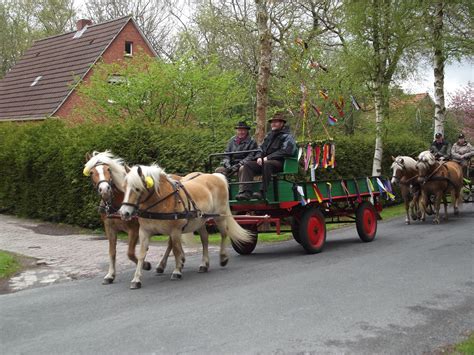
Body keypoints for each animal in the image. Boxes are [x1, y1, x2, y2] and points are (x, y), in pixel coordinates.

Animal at [83, 152, 152, 286]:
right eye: (92, 172)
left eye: (108, 169)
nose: (105, 189)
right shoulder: (109, 228)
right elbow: (112, 252)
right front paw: (110, 275)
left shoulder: (134, 230)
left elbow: (130, 253)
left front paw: (145, 265)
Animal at [118, 165, 252, 290]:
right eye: (124, 187)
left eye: (137, 188)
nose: (124, 213)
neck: (163, 200)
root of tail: (216, 176)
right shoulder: (144, 232)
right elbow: (141, 255)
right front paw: (136, 279)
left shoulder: (175, 231)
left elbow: (176, 250)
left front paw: (177, 271)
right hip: (200, 220)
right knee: (205, 238)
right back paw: (204, 264)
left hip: (220, 216)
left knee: (224, 233)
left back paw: (223, 257)